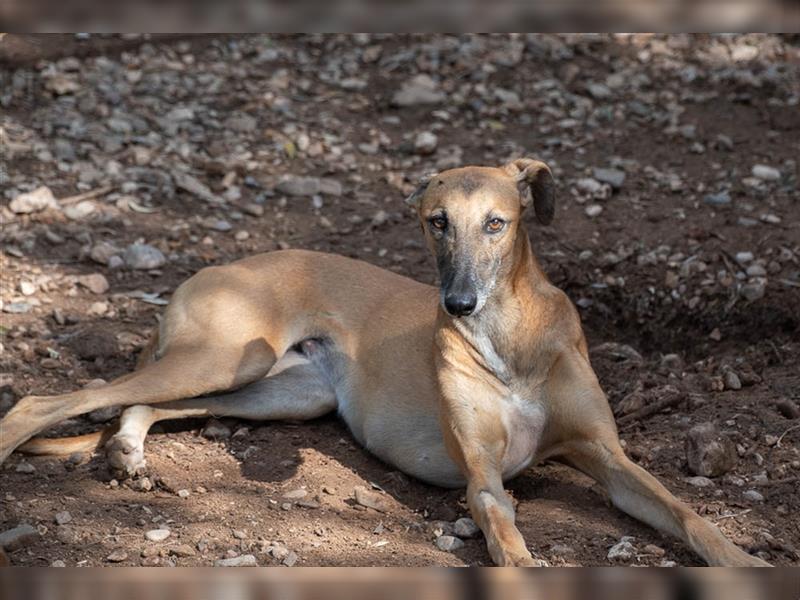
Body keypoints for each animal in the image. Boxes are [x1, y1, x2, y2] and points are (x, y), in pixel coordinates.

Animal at [0, 159, 768, 568]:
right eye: (436, 222)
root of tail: (212, 268)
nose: (457, 304)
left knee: (137, 403)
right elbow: (507, 535)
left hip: (278, 391)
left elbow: (687, 513)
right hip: (221, 360)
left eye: (497, 223)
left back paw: (128, 454)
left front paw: (747, 563)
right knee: (50, 401)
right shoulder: (484, 479)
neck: (511, 336)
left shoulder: (607, 457)